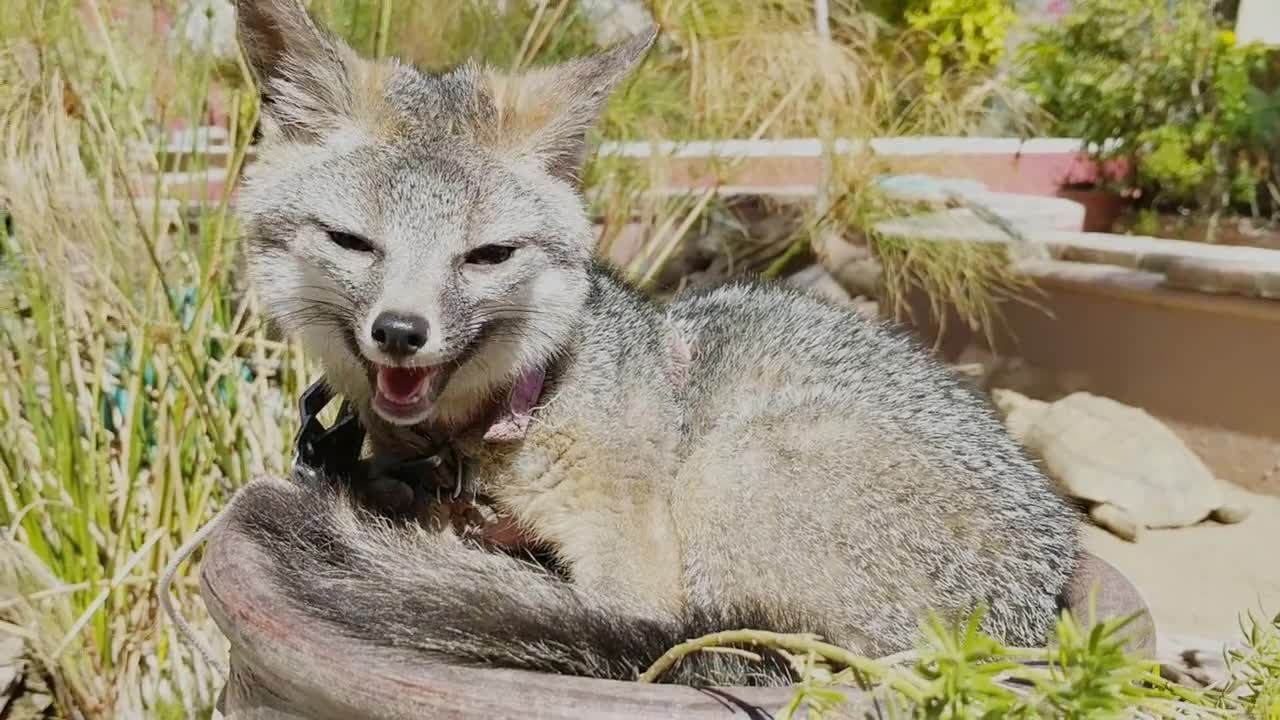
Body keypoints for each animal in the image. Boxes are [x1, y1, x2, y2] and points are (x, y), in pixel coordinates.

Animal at [227, 0, 1080, 686]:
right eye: (352, 242)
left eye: (488, 255)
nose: (401, 332)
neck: (523, 412)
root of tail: (1037, 609)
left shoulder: (633, 575)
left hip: (725, 475)